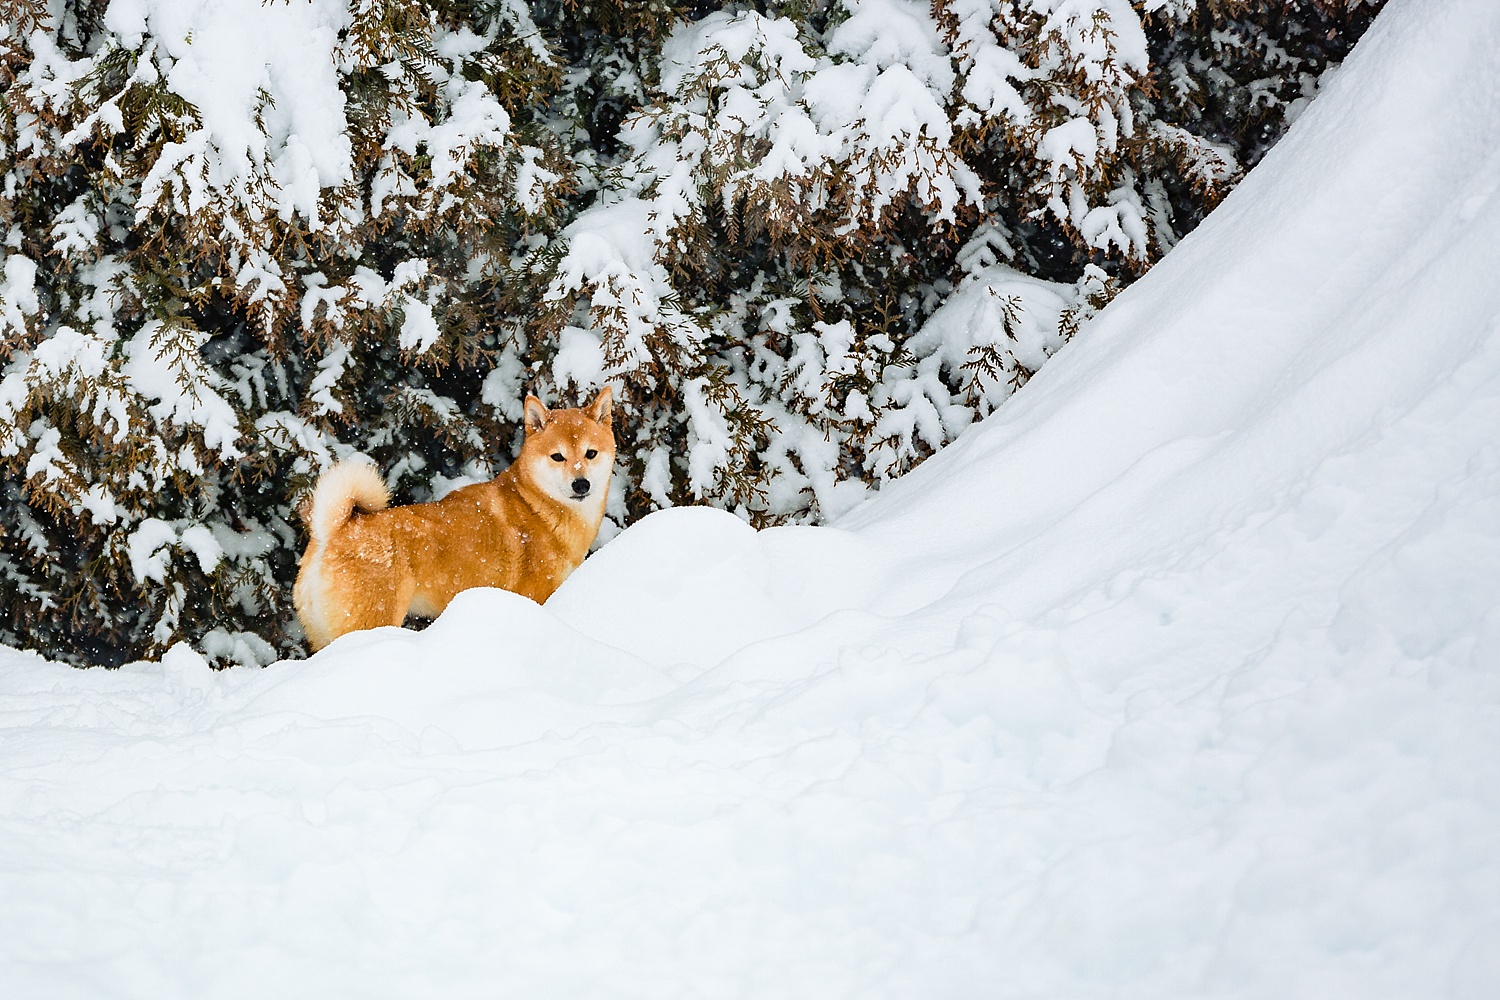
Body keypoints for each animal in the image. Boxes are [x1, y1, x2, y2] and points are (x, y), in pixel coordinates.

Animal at [295, 386, 612, 653]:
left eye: (591, 453)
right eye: (557, 457)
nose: (581, 484)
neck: (537, 505)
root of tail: (332, 532)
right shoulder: (536, 597)